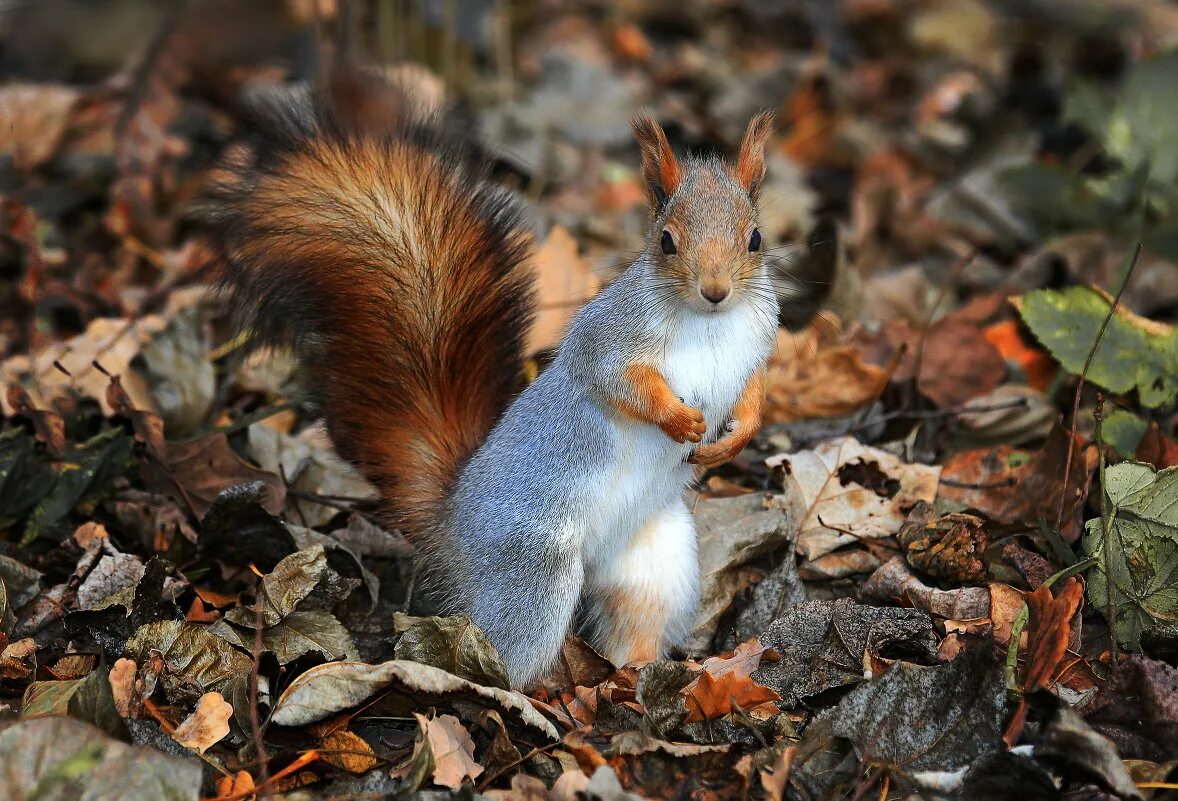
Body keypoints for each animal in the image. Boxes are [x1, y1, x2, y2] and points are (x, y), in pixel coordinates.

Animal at [209, 81, 782, 687]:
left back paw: (644, 676)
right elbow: (617, 382)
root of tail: (451, 525)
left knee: (635, 627)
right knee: (509, 649)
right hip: (533, 570)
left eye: (755, 238)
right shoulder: (607, 339)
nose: (716, 290)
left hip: (656, 563)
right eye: (667, 241)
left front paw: (732, 438)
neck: (710, 322)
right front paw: (681, 419)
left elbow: (753, 393)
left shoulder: (756, 345)